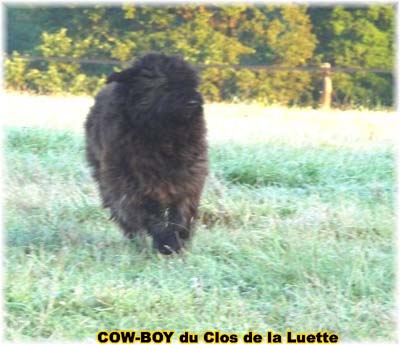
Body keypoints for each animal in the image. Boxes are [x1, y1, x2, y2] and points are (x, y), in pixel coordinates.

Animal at [85, 53, 209, 253]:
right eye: (165, 85)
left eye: (192, 83)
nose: (194, 101)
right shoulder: (133, 184)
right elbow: (149, 215)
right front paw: (164, 241)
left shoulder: (188, 178)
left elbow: (182, 212)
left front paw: (176, 240)